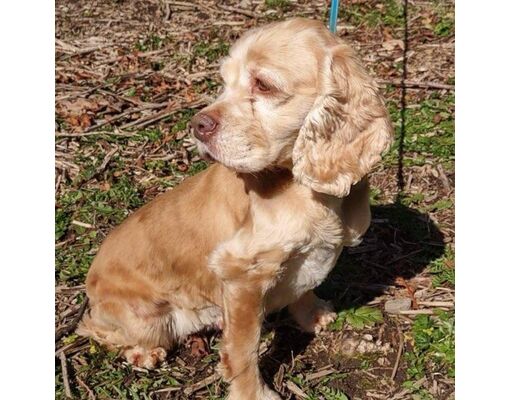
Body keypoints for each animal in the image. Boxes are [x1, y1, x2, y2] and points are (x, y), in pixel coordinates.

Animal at [76, 17, 394, 398]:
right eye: (225, 82)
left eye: (264, 84)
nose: (197, 126)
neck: (306, 191)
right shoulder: (243, 275)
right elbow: (244, 348)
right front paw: (252, 393)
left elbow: (304, 288)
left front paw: (314, 315)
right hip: (147, 318)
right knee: (95, 329)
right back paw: (144, 352)